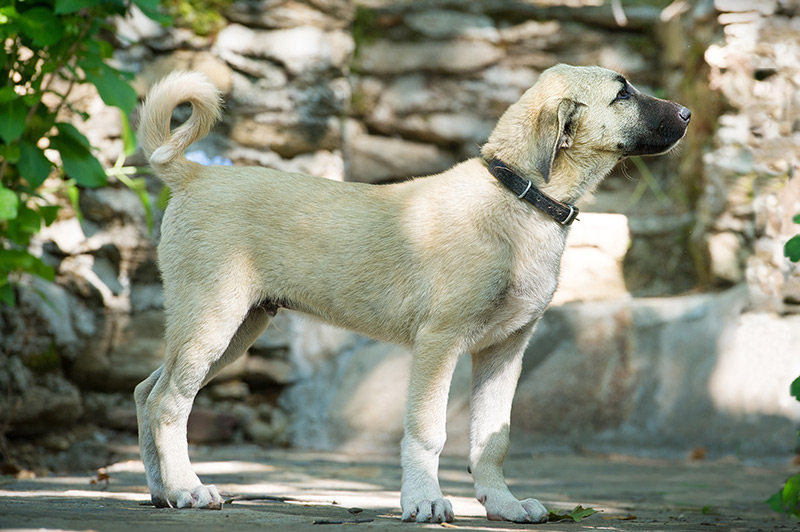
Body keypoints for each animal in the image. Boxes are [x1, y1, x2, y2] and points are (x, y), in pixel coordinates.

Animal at [134, 63, 692, 524]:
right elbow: (428, 432)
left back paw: (162, 491)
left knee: (146, 390)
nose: (688, 113)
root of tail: (194, 175)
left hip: (237, 328)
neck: (519, 197)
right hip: (213, 317)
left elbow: (494, 437)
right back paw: (186, 489)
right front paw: (424, 501)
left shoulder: (504, 350)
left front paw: (503, 503)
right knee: (169, 401)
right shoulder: (438, 343)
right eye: (623, 93)